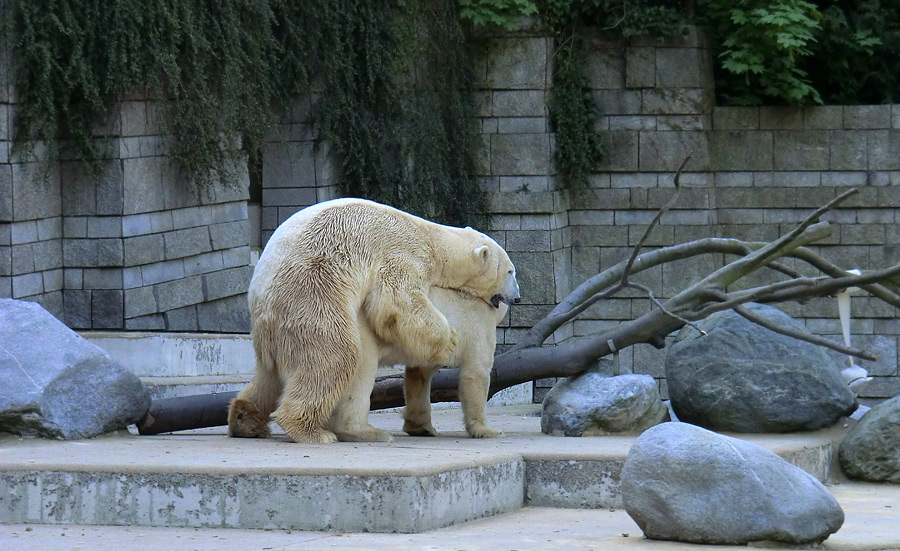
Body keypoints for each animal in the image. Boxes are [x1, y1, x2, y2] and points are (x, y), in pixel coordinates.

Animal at [229, 198, 516, 444]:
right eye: (511, 271)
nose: (518, 296)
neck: (432, 239)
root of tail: (259, 298)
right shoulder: (405, 253)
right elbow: (398, 300)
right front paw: (450, 340)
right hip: (311, 293)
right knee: (334, 356)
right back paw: (315, 431)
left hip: (277, 330)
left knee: (268, 377)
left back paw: (245, 420)